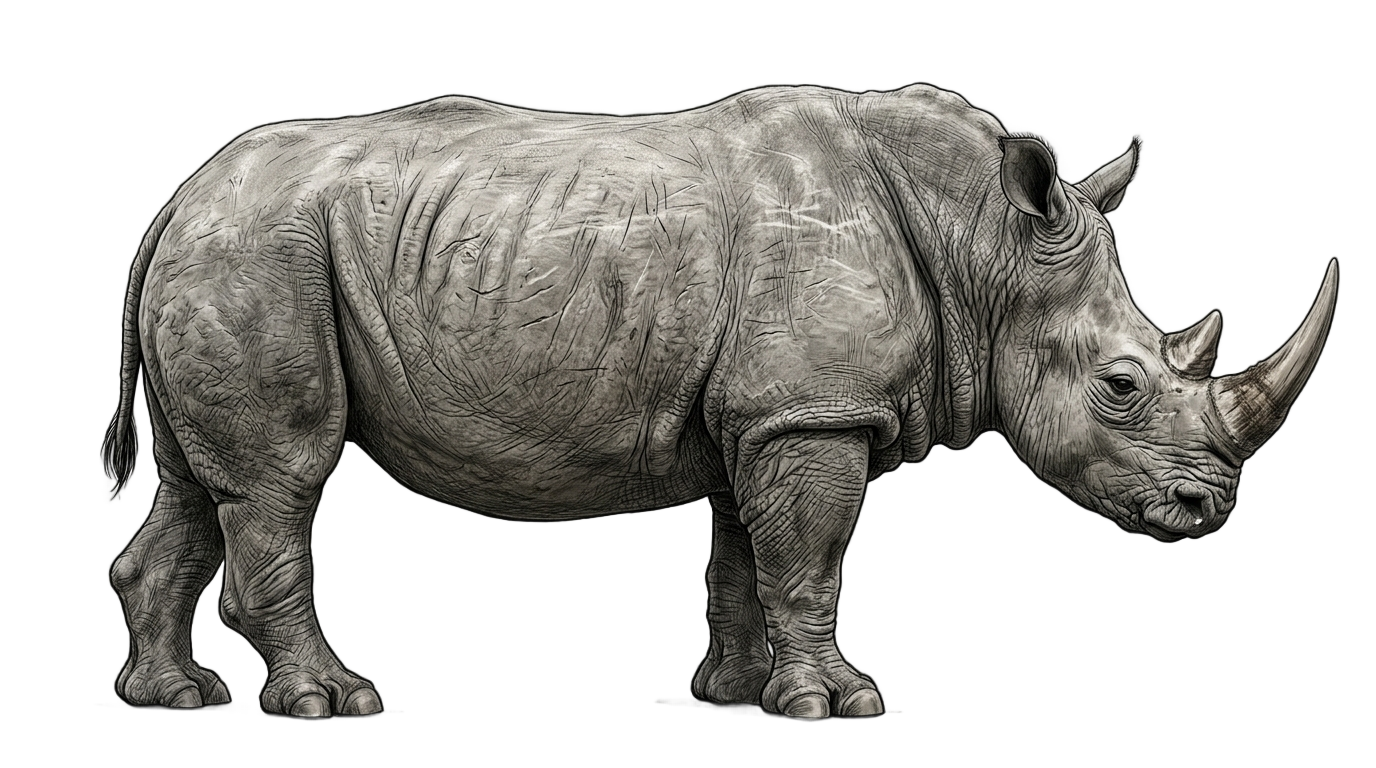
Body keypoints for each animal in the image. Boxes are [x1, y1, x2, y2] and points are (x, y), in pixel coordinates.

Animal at [102, 83, 1338, 720]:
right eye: (1121, 386)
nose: (1207, 511)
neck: (985, 246)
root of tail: (176, 198)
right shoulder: (812, 410)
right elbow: (810, 560)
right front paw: (839, 706)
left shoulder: (768, 412)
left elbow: (752, 557)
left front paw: (742, 695)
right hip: (260, 254)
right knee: (278, 480)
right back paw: (329, 704)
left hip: (228, 254)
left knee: (194, 488)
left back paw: (173, 698)